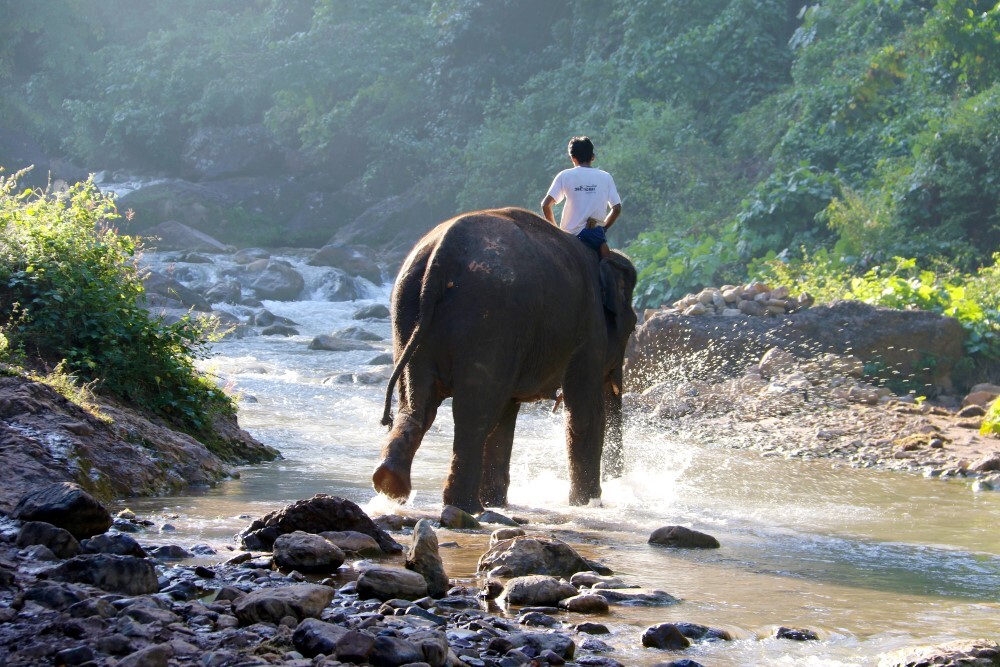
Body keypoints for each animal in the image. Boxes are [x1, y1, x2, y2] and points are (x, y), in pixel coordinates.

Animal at [372, 207, 637, 513]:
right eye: (633, 326)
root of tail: (442, 254)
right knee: (475, 413)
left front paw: (498, 502)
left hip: (408, 314)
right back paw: (467, 507)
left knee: (419, 405)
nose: (617, 483)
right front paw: (587, 505)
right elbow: (585, 412)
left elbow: (507, 414)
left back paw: (391, 485)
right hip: (490, 318)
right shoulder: (589, 328)